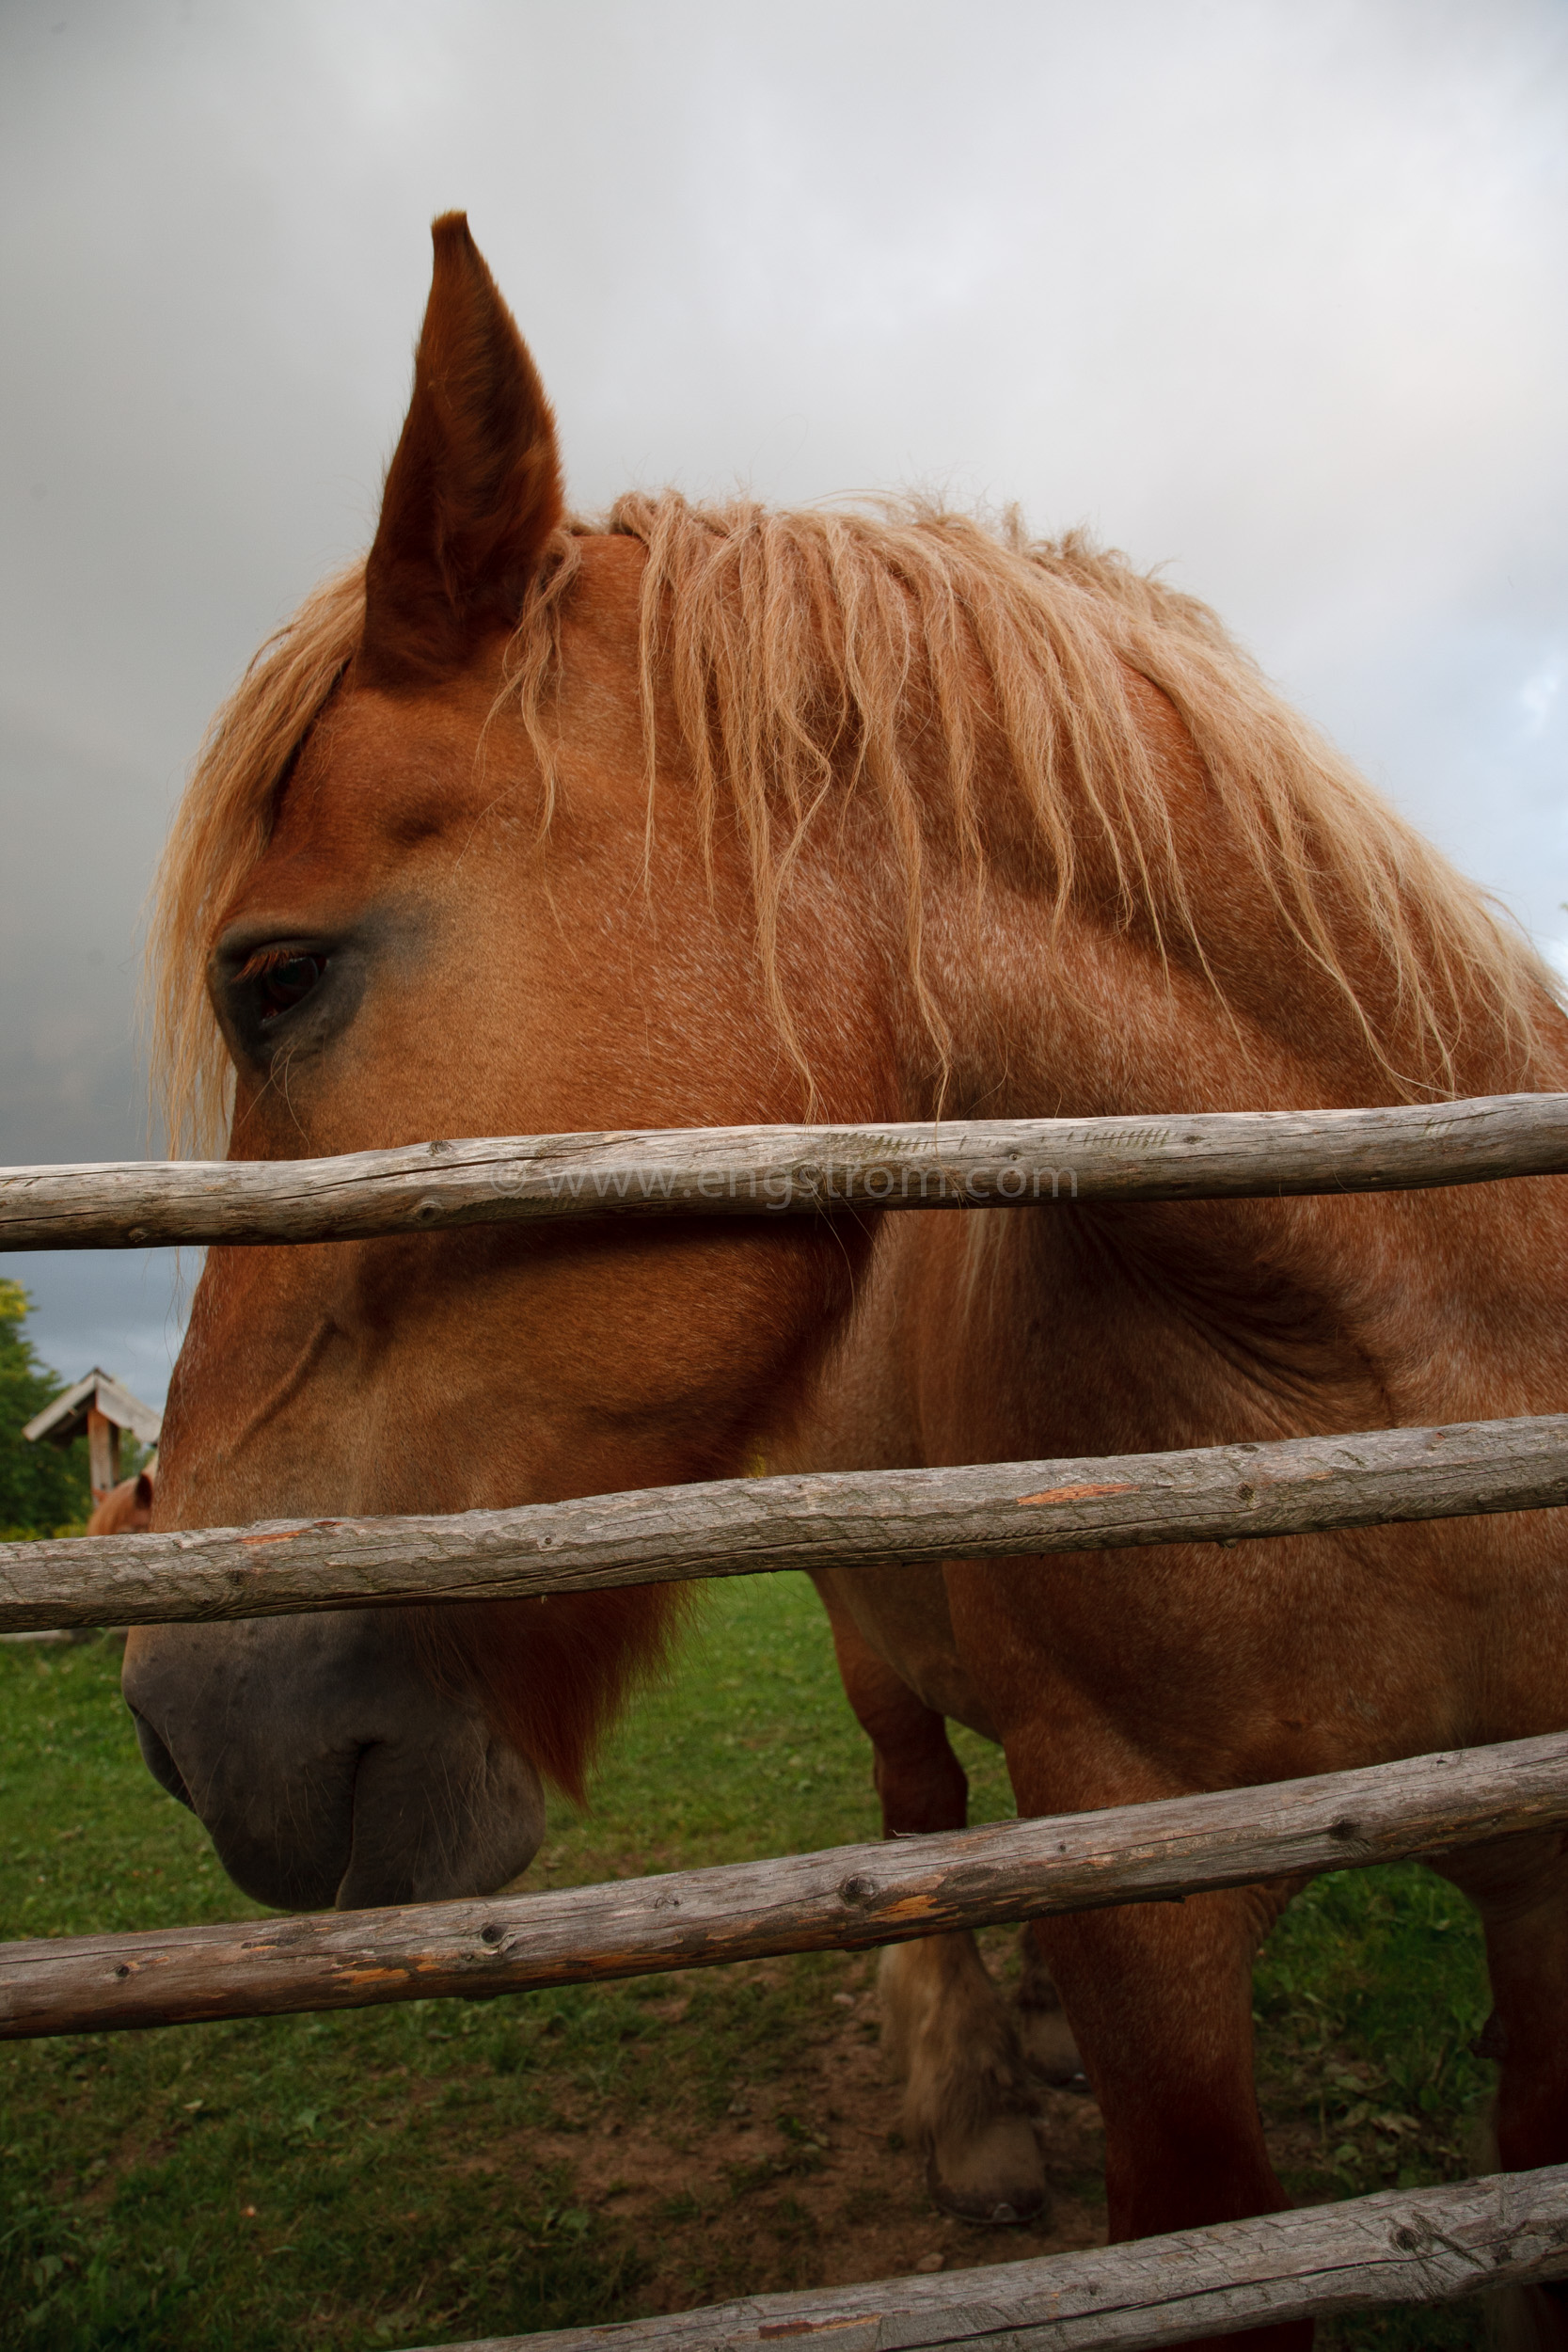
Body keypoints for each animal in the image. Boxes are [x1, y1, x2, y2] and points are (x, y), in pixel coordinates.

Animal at [122, 212, 1568, 2343]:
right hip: (870, 1636)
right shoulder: (1142, 1880)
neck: (1381, 1384)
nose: (174, 1722)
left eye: (275, 976)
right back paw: (971, 2096)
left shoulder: (1541, 1890)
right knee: (916, 1817)